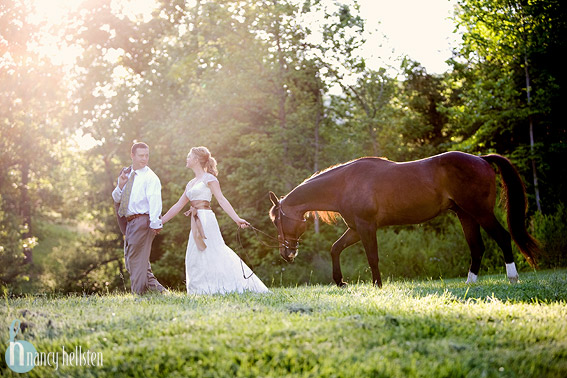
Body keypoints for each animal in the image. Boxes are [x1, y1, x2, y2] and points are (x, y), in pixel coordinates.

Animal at [270, 151, 540, 286]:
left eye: (277, 220)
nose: (286, 253)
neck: (345, 183)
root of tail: (481, 159)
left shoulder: (366, 227)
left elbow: (372, 257)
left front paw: (377, 286)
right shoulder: (355, 229)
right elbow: (335, 249)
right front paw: (340, 282)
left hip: (480, 212)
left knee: (503, 237)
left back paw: (512, 277)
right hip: (465, 215)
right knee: (477, 247)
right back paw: (469, 283)